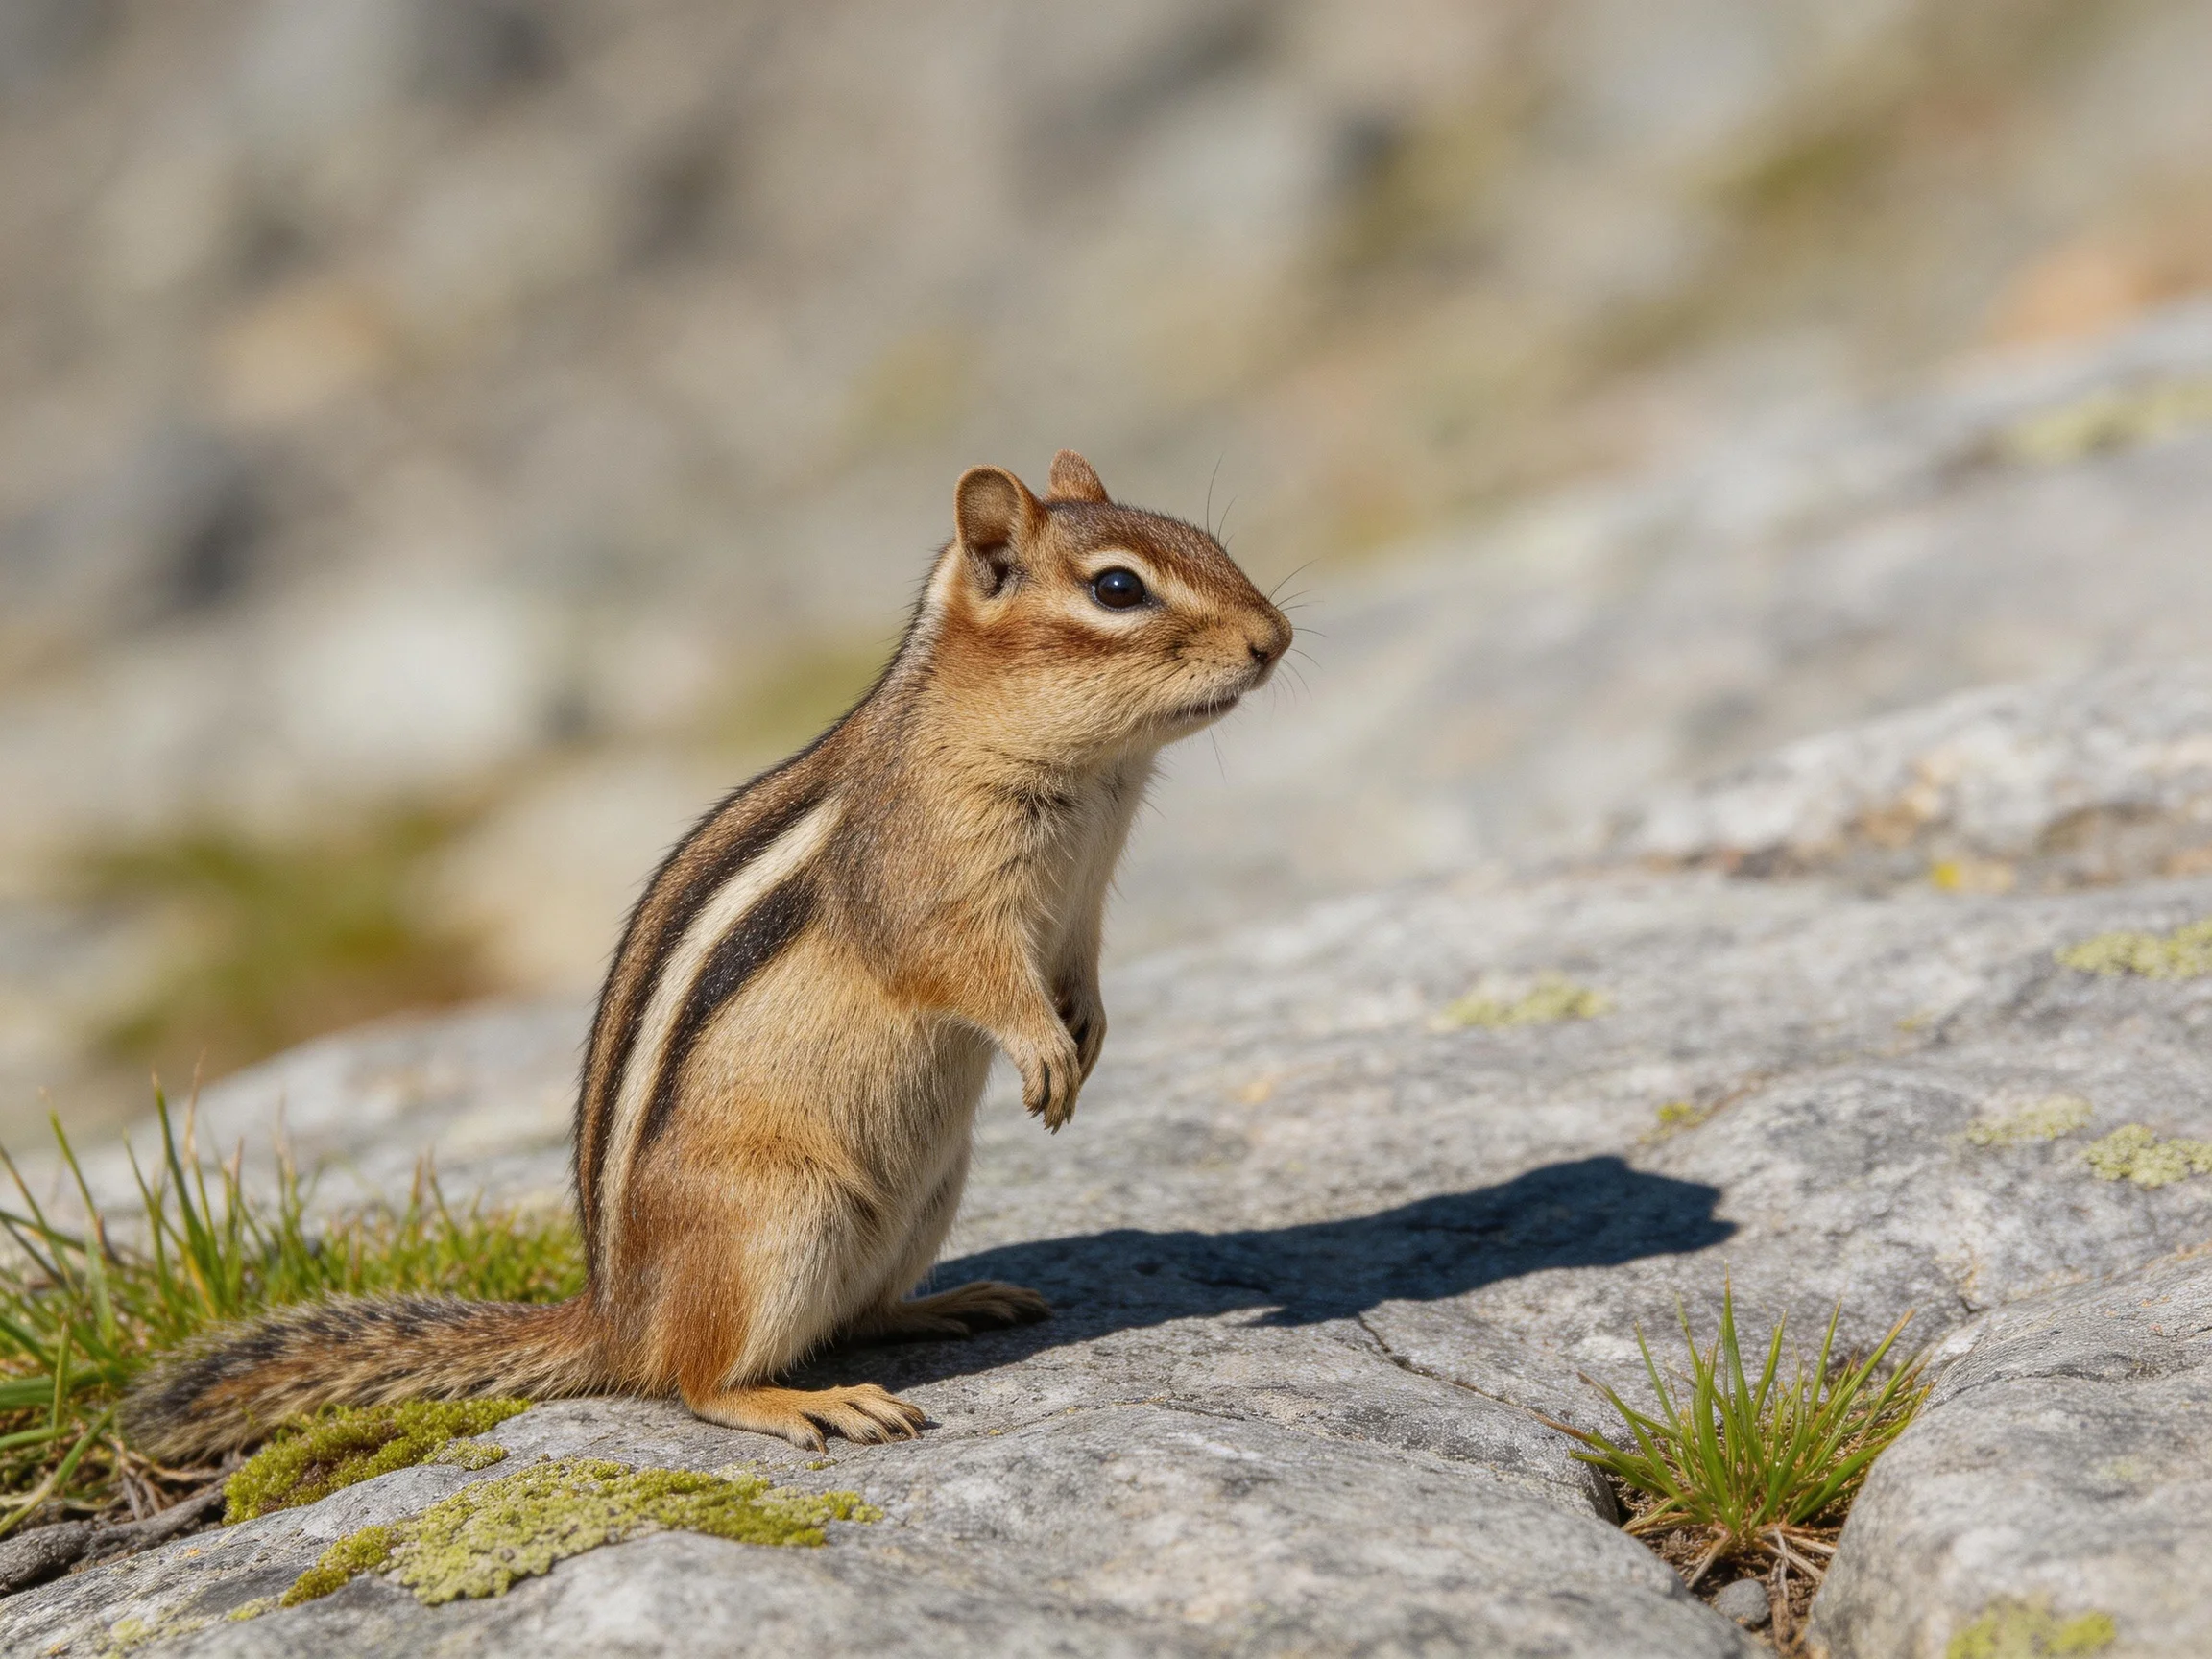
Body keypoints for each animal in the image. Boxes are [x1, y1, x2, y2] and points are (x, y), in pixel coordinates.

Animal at [125, 451, 1292, 1458]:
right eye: (1117, 589)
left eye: (1205, 539)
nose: (1275, 639)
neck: (1093, 782)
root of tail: (614, 1315)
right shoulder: (927, 889)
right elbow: (964, 974)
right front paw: (1042, 1047)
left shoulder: (1083, 899)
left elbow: (1081, 965)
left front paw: (1087, 1030)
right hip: (780, 1221)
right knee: (693, 1380)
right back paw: (808, 1403)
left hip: (926, 1193)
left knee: (851, 1317)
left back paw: (951, 1302)